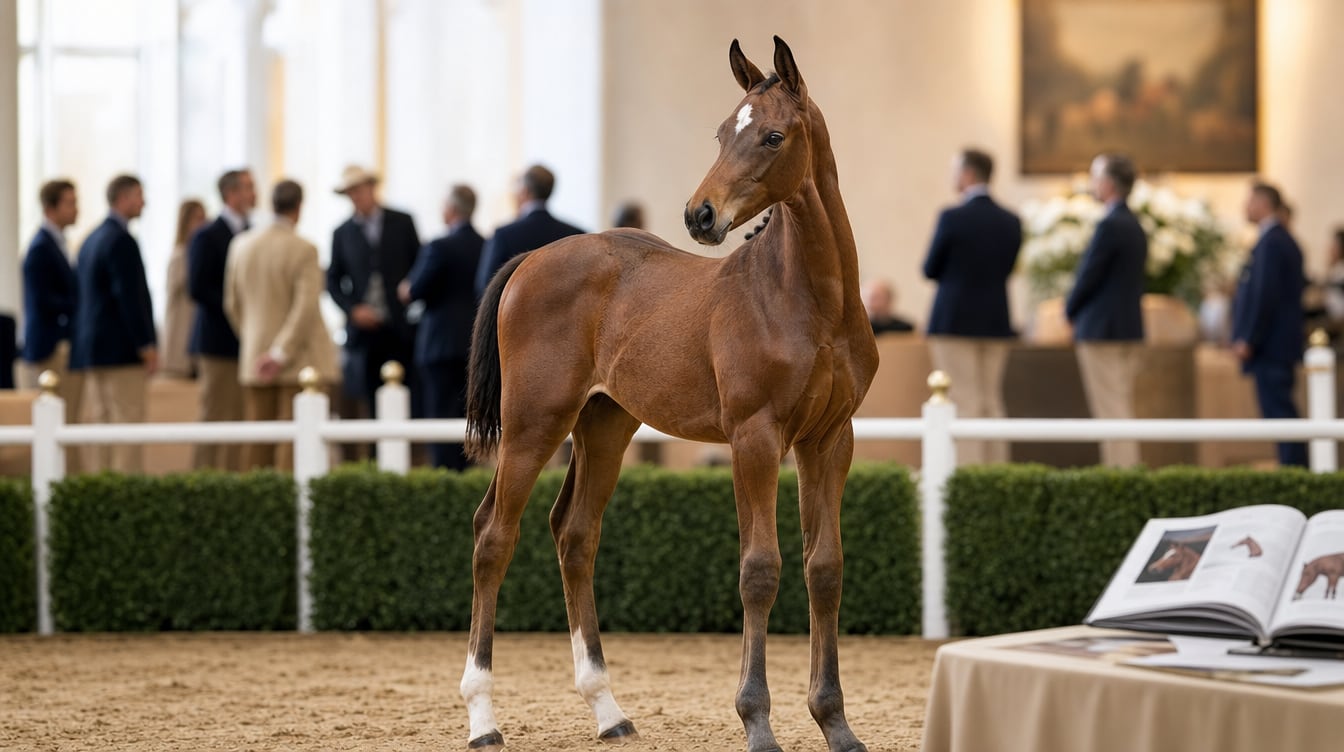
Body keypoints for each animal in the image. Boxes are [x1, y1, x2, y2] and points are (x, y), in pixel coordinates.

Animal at [457, 37, 877, 752]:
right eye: (721, 132)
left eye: (772, 135)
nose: (700, 215)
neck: (807, 299)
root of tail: (531, 260)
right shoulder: (755, 437)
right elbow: (759, 569)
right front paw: (757, 722)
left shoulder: (829, 439)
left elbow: (825, 568)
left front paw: (836, 723)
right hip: (534, 423)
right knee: (493, 534)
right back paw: (483, 718)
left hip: (604, 426)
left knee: (574, 534)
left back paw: (608, 711)